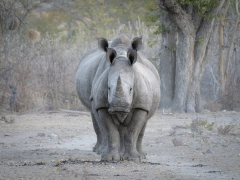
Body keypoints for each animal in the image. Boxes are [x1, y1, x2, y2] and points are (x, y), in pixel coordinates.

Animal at [76, 34, 160, 162]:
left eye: (131, 89)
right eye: (109, 88)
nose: (119, 106)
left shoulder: (141, 106)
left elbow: (132, 131)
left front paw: (134, 159)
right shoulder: (101, 104)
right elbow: (110, 131)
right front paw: (109, 158)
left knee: (142, 124)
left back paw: (141, 155)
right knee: (98, 121)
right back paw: (102, 151)